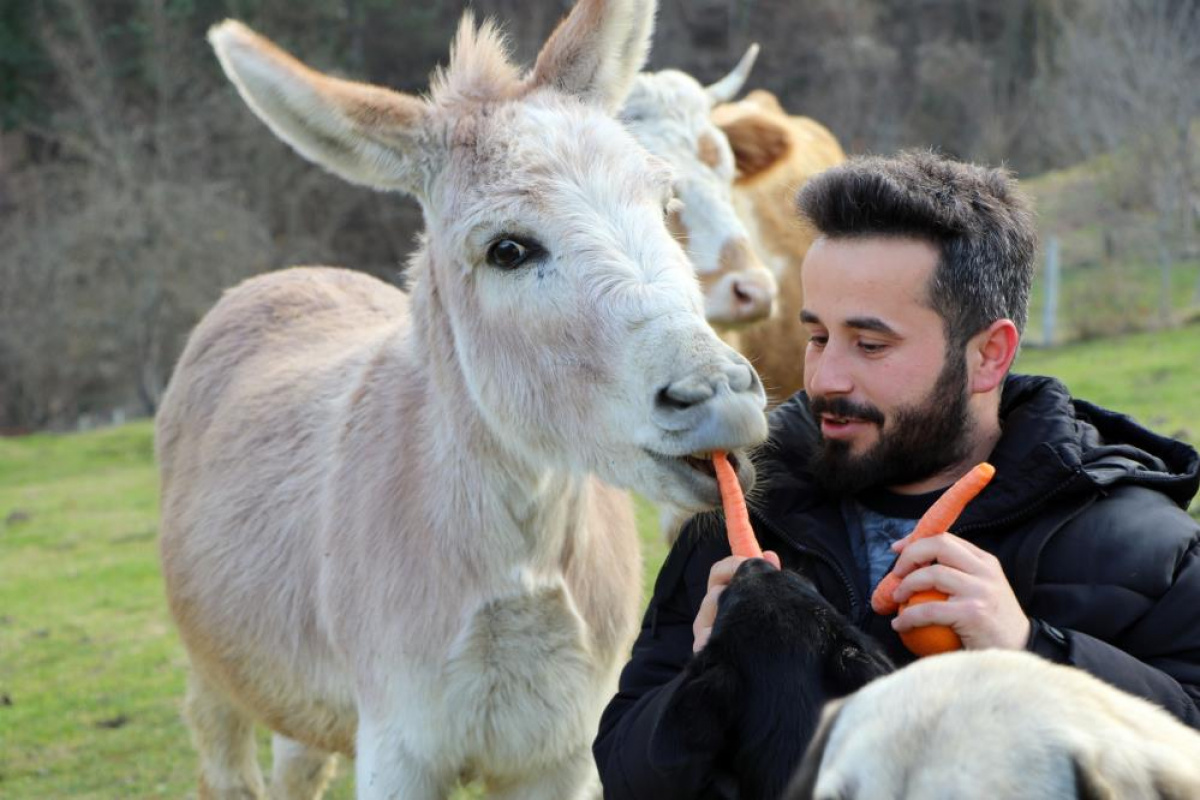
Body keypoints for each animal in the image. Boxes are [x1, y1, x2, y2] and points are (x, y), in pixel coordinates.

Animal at [157, 3, 768, 796]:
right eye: (507, 250)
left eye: (665, 207)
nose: (719, 396)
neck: (520, 570)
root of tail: (287, 276)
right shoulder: (398, 748)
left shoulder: (563, 752)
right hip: (212, 665)